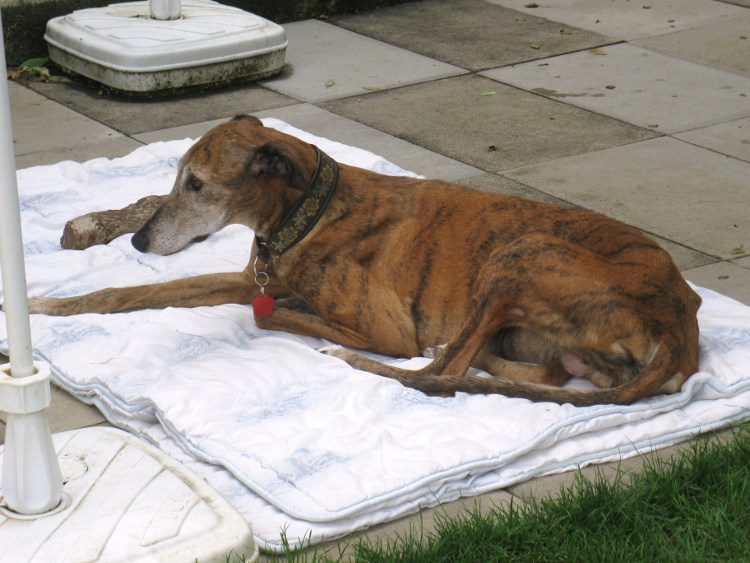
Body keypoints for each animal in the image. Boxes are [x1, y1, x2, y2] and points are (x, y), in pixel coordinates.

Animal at [23, 115, 704, 406]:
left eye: (196, 184)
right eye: (176, 179)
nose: (138, 244)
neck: (312, 212)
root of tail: (681, 326)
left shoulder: (387, 328)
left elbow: (269, 316)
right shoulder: (249, 280)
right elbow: (127, 294)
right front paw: (48, 304)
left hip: (522, 253)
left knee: (433, 376)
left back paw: (365, 359)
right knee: (526, 374)